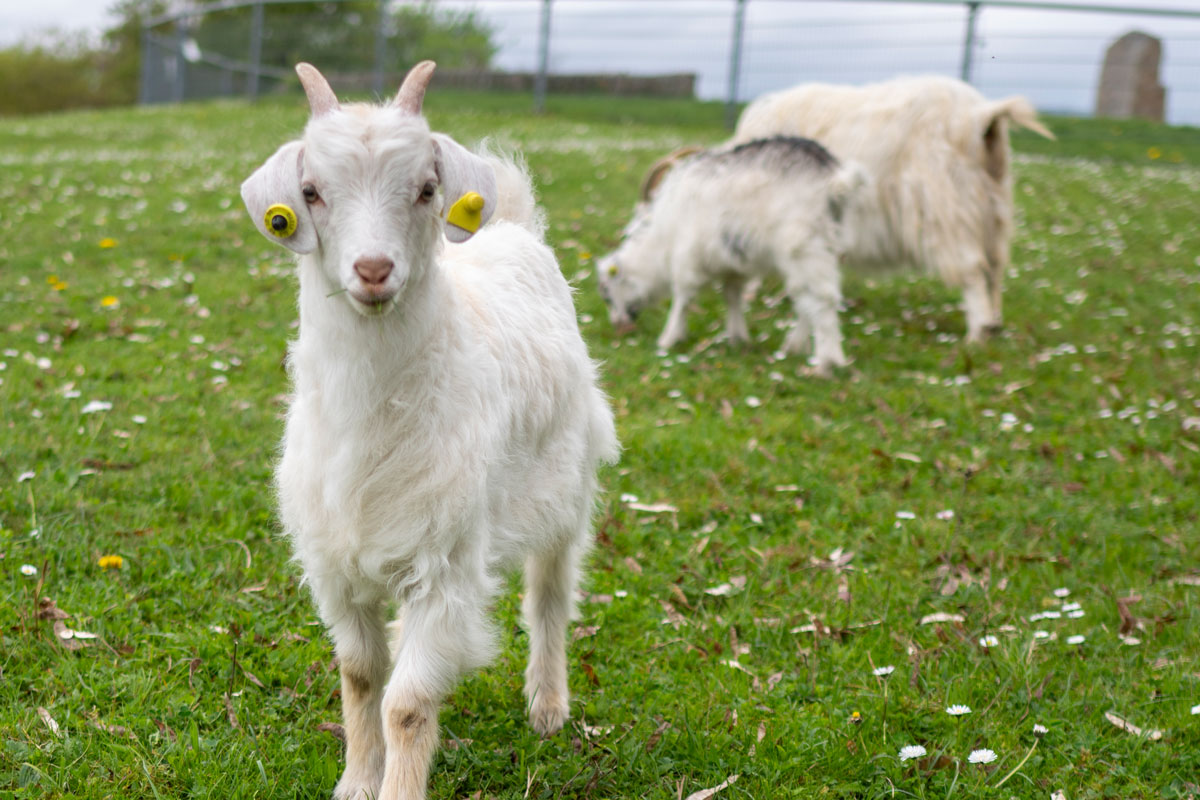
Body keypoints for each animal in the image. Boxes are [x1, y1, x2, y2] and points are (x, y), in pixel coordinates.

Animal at [240, 61, 618, 800]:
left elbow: (409, 705)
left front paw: (394, 785)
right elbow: (361, 676)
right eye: (311, 192)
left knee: (550, 599)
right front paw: (358, 781)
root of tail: (511, 227)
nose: (373, 270)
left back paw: (548, 705)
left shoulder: (444, 568)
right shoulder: (336, 565)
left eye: (425, 188)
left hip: (568, 489)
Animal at [597, 136, 864, 376]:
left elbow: (682, 297)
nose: (618, 326)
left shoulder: (686, 257)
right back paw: (795, 346)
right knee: (806, 299)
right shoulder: (732, 265)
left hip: (804, 247)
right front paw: (737, 337)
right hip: (821, 248)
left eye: (607, 294)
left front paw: (668, 338)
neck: (661, 235)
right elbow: (732, 296)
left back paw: (826, 363)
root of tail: (835, 181)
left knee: (822, 299)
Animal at [731, 74, 1054, 343]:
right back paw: (994, 324)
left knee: (972, 269)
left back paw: (978, 333)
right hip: (990, 212)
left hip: (947, 207)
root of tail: (981, 117)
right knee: (994, 269)